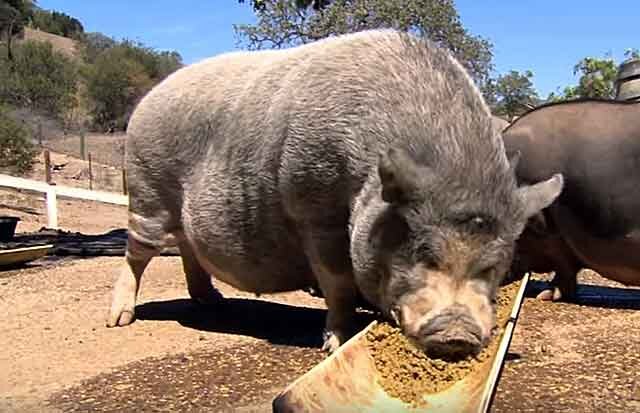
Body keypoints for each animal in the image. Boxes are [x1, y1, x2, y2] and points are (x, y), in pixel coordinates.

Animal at [105, 29, 560, 358]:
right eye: (424, 254)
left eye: (495, 266)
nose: (456, 337)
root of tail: (149, 97)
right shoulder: (313, 208)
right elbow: (337, 282)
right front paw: (335, 343)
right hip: (147, 190)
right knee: (138, 254)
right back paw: (118, 320)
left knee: (187, 247)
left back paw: (212, 304)